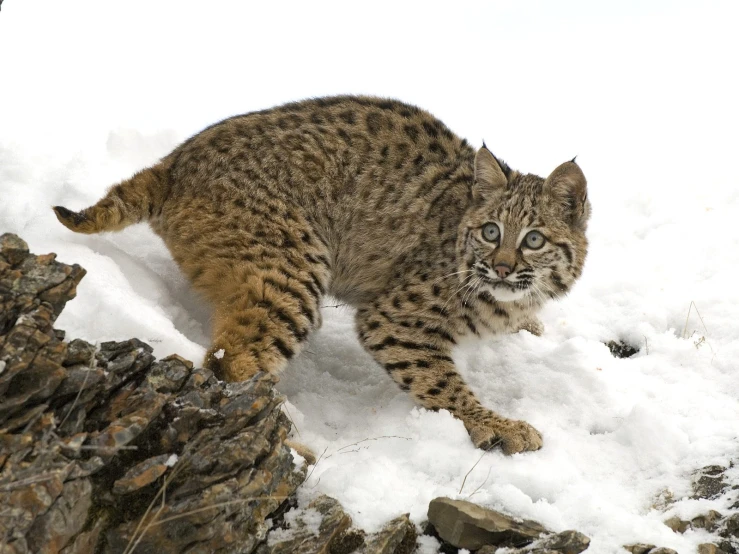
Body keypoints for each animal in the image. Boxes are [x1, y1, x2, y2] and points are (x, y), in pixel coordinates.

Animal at [53, 97, 588, 454]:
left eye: (533, 240)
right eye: (491, 231)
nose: (501, 267)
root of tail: (174, 160)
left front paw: (530, 330)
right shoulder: (391, 320)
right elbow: (440, 383)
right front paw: (497, 425)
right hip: (293, 265)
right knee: (233, 363)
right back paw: (288, 452)